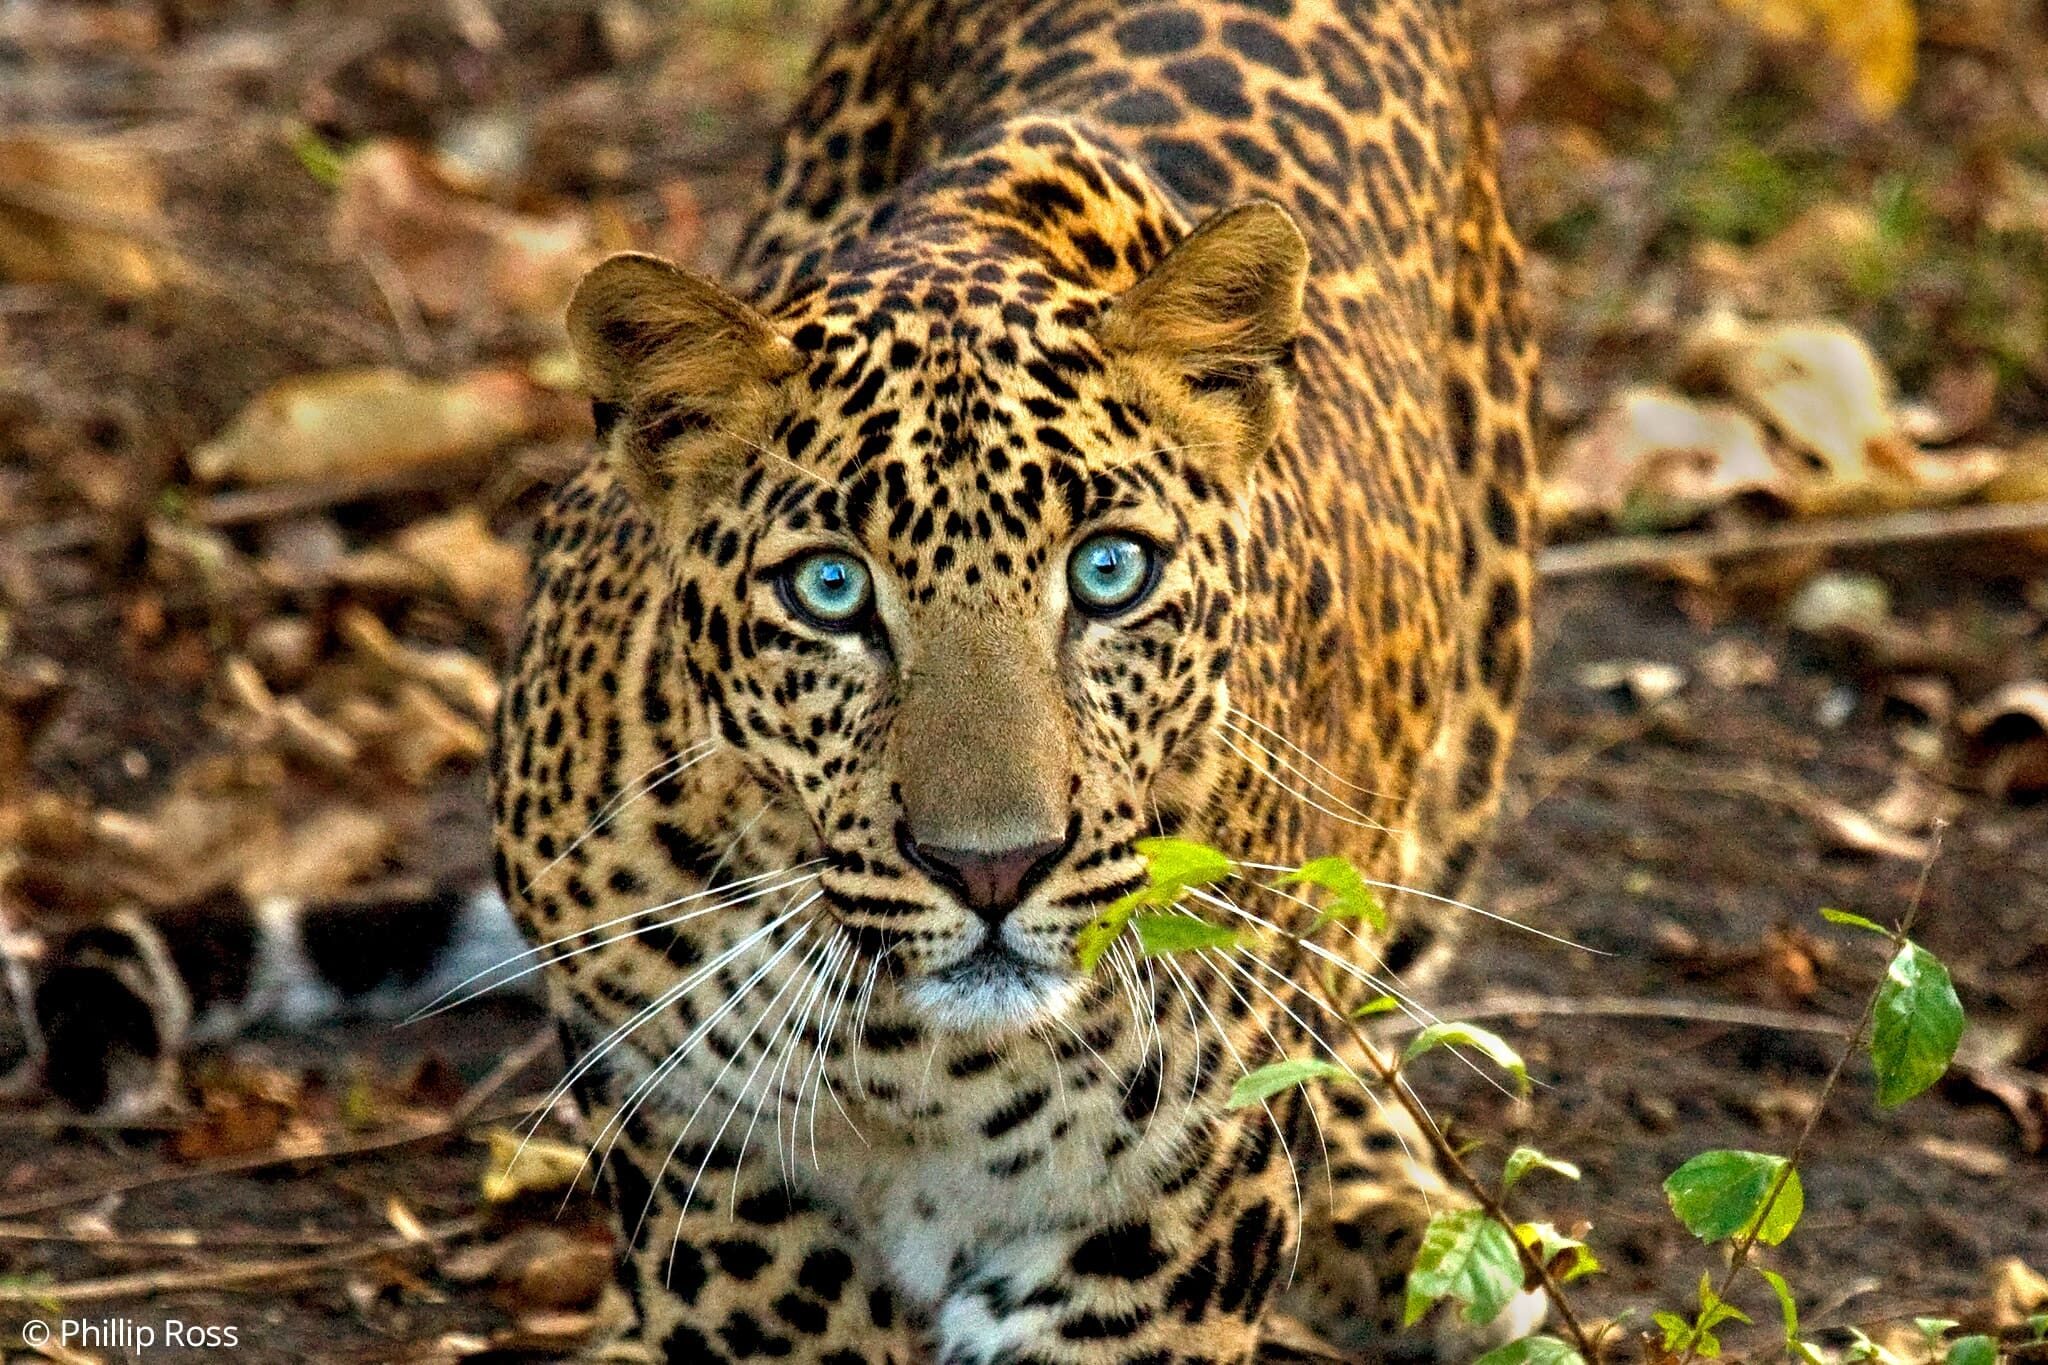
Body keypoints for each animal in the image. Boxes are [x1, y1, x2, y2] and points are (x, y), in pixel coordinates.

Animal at [492, 0, 1540, 1360]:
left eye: (1106, 571)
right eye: (828, 588)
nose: (991, 869)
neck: (927, 1066)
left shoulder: (1171, 1212)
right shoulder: (693, 1150)